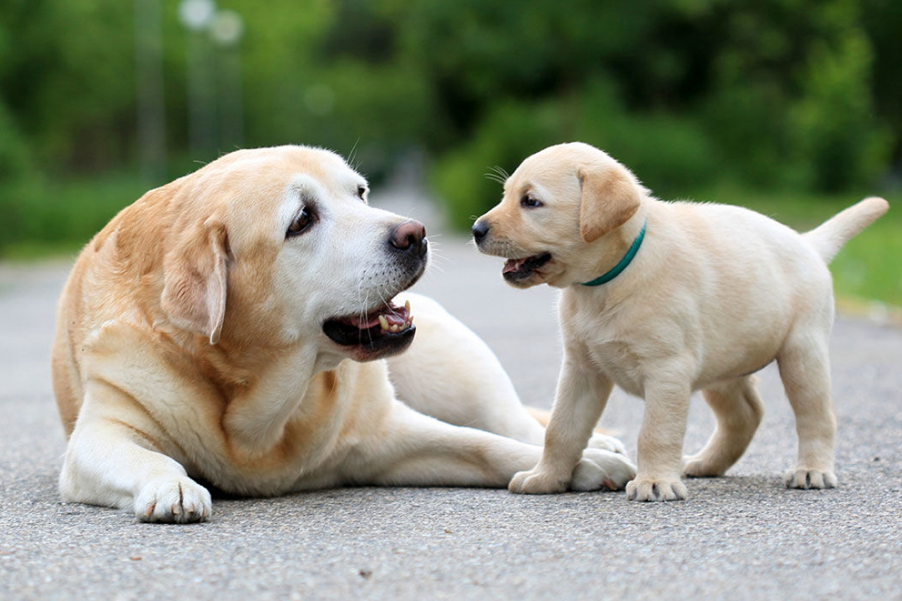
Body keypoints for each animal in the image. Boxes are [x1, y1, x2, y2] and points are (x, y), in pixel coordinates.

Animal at [54, 144, 636, 520]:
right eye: (301, 219)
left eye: (360, 193)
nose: (415, 233)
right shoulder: (98, 434)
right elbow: (143, 455)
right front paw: (172, 484)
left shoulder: (388, 433)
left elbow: (489, 446)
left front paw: (581, 465)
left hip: (458, 369)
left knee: (511, 420)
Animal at [474, 142, 888, 502]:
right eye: (507, 195)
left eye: (531, 201)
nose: (477, 230)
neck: (608, 280)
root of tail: (808, 242)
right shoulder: (582, 369)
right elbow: (561, 430)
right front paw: (546, 478)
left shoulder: (666, 370)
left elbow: (655, 433)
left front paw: (655, 481)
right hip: (723, 368)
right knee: (746, 415)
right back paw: (705, 463)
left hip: (802, 355)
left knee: (816, 416)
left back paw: (812, 470)